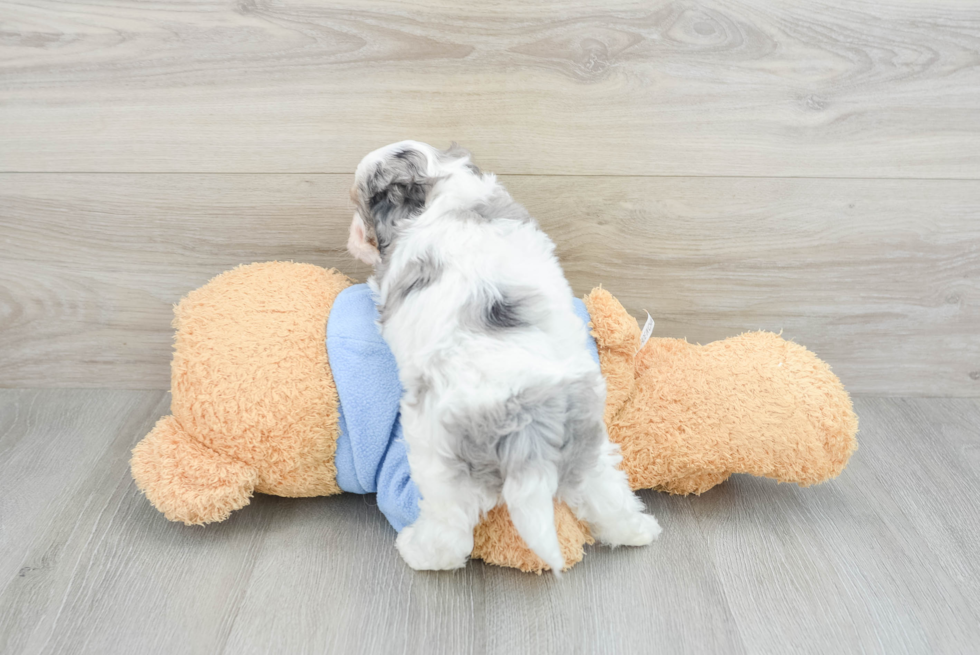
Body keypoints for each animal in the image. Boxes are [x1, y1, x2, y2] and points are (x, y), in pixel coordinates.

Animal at [348, 141, 664, 572]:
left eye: (361, 202)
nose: (354, 232)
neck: (440, 187)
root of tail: (525, 423)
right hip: (586, 440)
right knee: (604, 489)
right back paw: (637, 530)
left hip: (440, 457)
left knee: (449, 530)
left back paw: (416, 550)